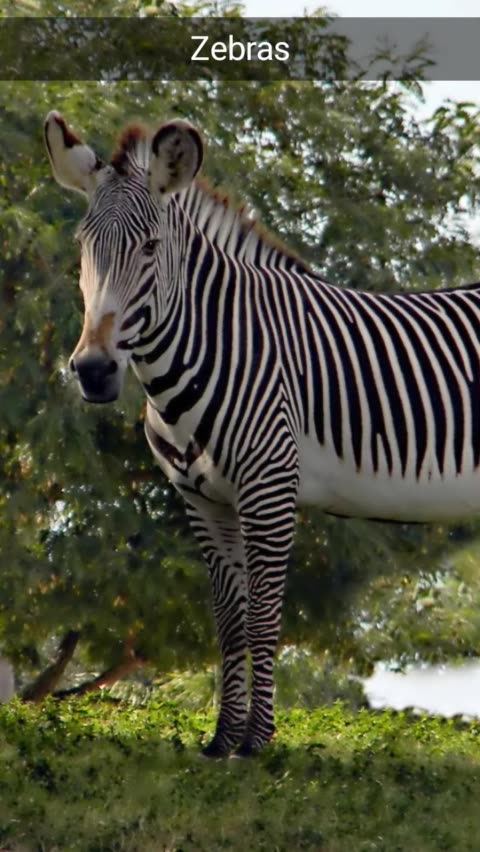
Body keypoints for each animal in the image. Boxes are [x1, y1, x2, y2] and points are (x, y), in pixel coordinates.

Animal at [45, 110, 480, 756]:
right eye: (83, 248)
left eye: (150, 248)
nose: (94, 371)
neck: (214, 347)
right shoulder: (201, 500)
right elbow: (229, 619)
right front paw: (223, 740)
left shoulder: (270, 488)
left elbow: (264, 615)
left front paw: (257, 742)